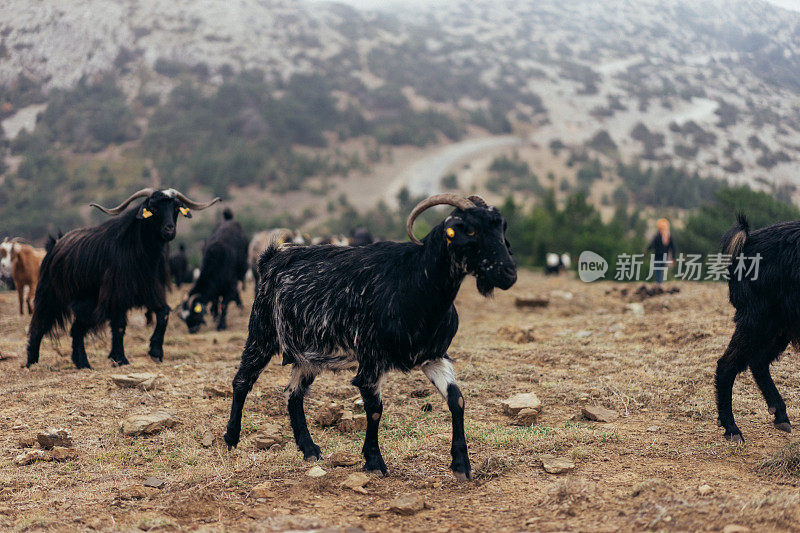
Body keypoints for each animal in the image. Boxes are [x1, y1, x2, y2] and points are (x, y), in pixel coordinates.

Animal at [26, 188, 219, 370]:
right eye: (153, 207)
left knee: (76, 330)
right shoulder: (117, 296)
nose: (169, 230)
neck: (140, 251)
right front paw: (120, 359)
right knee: (38, 326)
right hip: (50, 296)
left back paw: (83, 364)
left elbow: (164, 313)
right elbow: (119, 326)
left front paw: (155, 353)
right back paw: (32, 363)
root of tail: (55, 244)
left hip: (86, 305)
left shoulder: (151, 291)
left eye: (177, 207)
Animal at [223, 193, 520, 480]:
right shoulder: (371, 359)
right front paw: (374, 462)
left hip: (309, 356)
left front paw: (461, 465)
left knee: (293, 394)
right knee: (242, 381)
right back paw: (231, 438)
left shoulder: (435, 356)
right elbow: (375, 408)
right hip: (261, 334)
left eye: (502, 227)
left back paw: (309, 449)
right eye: (470, 230)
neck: (414, 286)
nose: (509, 273)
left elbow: (457, 400)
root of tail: (272, 257)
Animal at [720, 214, 800, 442]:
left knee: (758, 361)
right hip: (757, 320)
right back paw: (732, 430)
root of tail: (747, 240)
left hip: (779, 327)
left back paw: (781, 416)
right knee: (727, 364)